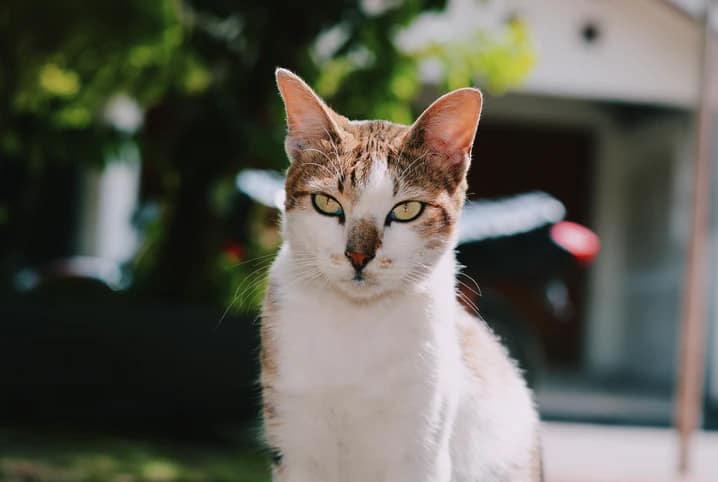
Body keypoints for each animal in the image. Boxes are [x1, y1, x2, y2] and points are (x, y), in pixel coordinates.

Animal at [262, 68, 544, 482]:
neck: (357, 322)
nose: (358, 255)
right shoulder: (296, 439)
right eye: (327, 203)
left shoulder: (421, 446)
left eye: (407, 209)